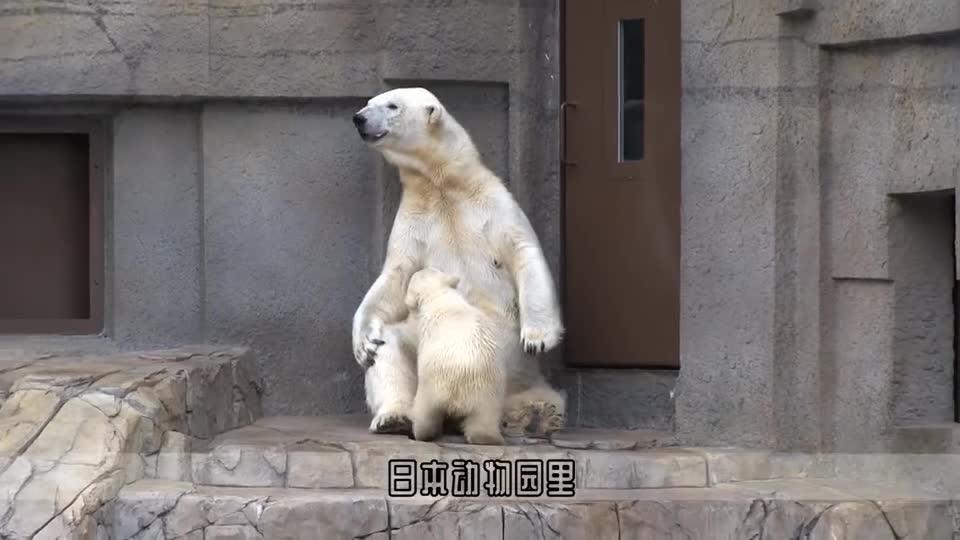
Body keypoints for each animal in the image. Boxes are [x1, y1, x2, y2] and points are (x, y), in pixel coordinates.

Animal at [403, 267, 506, 445]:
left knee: (426, 411)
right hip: (488, 391)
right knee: (485, 417)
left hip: (432, 385)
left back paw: (420, 433)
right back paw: (486, 438)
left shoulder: (424, 332)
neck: (440, 297)